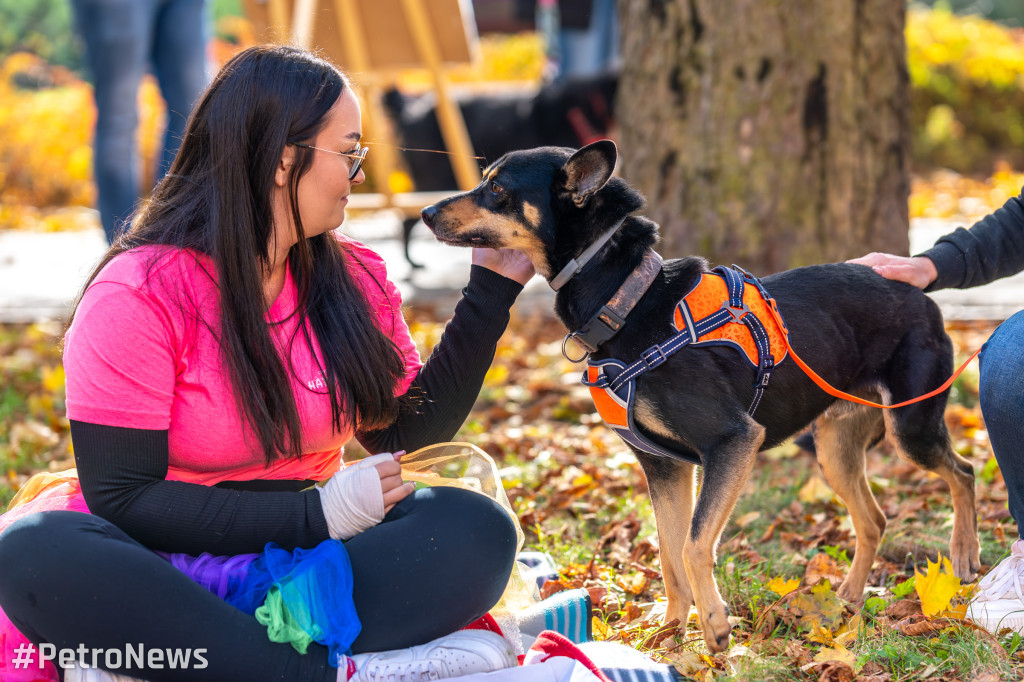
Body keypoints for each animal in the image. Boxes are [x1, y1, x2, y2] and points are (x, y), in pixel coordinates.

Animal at [419, 139, 978, 655]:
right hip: (836, 449)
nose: (424, 213)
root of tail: (919, 293)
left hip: (911, 425)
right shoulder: (663, 466)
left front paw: (714, 626)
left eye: (496, 189)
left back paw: (964, 555)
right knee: (874, 519)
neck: (625, 302)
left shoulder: (732, 442)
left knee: (964, 471)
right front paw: (668, 636)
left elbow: (692, 545)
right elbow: (668, 554)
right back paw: (847, 602)